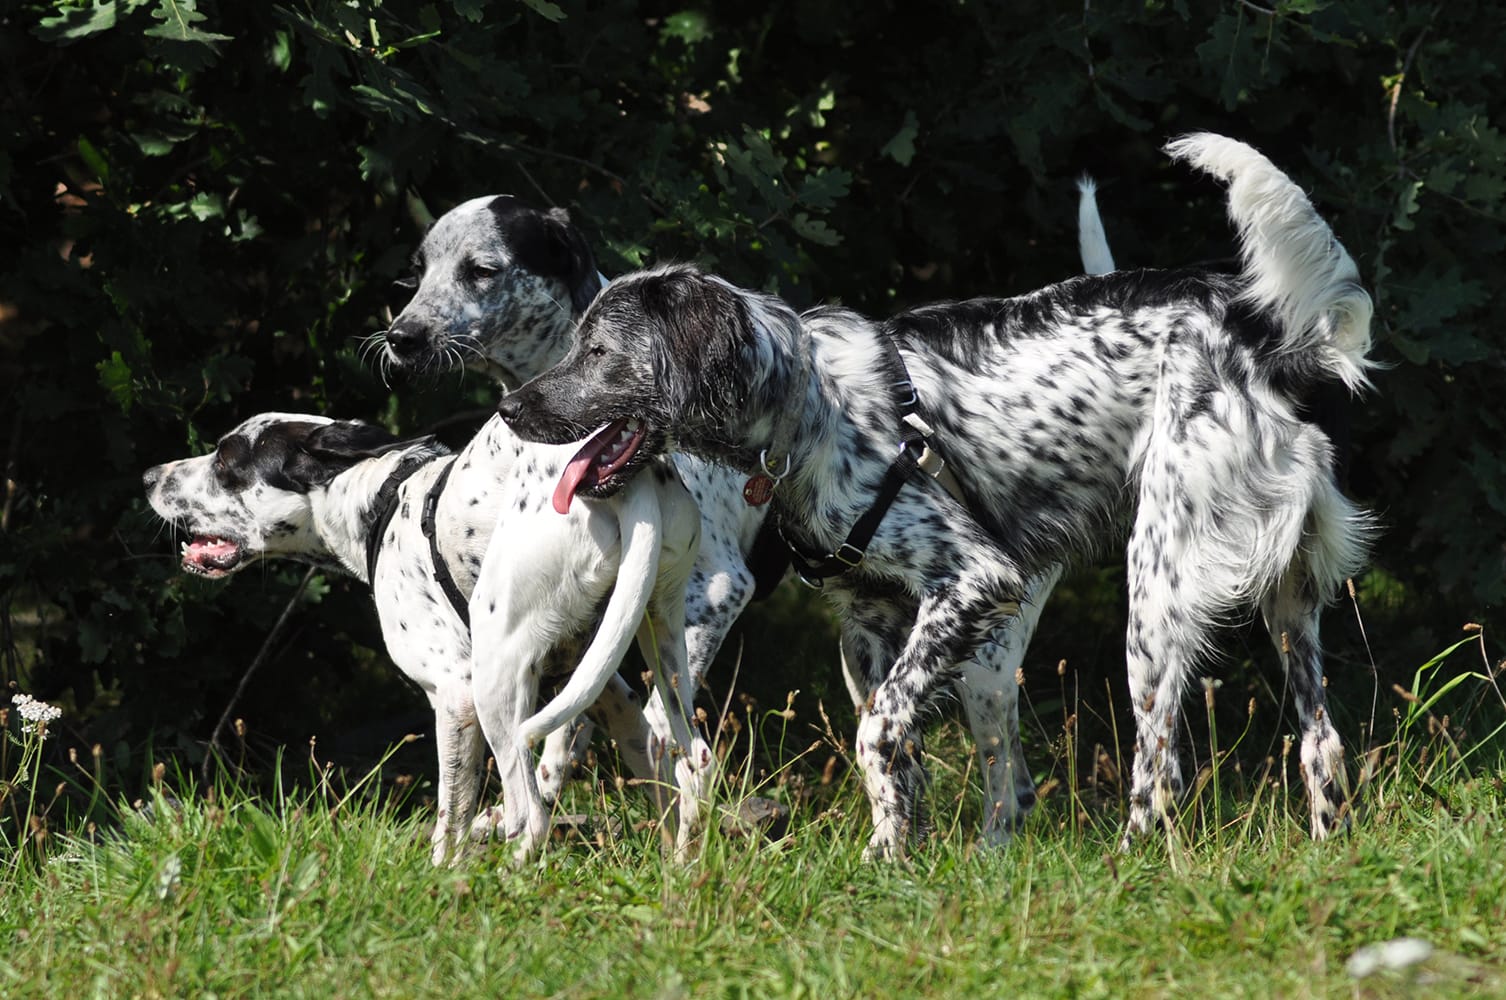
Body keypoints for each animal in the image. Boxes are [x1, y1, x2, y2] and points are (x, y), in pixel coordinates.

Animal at [141, 409, 698, 861]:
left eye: (225, 461)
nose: (148, 476)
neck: (378, 500)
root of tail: (629, 485)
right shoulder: (605, 692)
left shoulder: (455, 697)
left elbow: (450, 824)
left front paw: (442, 879)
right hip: (660, 648)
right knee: (688, 767)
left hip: (497, 689)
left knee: (530, 819)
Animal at [376, 189, 1126, 843]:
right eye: (418, 270)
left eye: (481, 269)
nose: (400, 339)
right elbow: (575, 730)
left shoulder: (714, 592)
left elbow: (631, 735)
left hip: (984, 660)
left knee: (1008, 782)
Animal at [493, 132, 1379, 855]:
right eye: (575, 343)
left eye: (599, 352)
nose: (509, 409)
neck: (808, 403)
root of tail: (1259, 338)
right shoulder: (872, 621)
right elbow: (900, 759)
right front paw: (894, 859)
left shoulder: (974, 580)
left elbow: (878, 734)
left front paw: (883, 857)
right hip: (1285, 602)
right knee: (1320, 742)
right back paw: (1325, 844)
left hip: (1154, 599)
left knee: (1158, 769)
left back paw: (1128, 864)